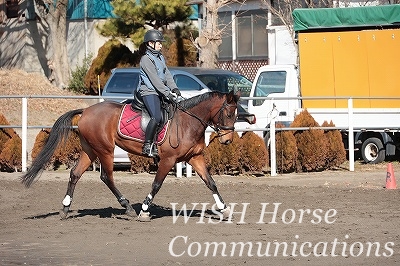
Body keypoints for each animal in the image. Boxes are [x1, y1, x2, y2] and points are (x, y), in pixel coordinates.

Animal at [20, 90, 241, 221]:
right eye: (229, 114)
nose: (227, 141)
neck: (188, 122)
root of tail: (86, 111)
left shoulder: (195, 158)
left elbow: (211, 182)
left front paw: (224, 209)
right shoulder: (168, 160)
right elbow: (156, 184)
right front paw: (144, 210)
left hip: (90, 150)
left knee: (75, 174)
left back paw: (65, 208)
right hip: (105, 151)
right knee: (106, 177)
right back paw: (127, 207)